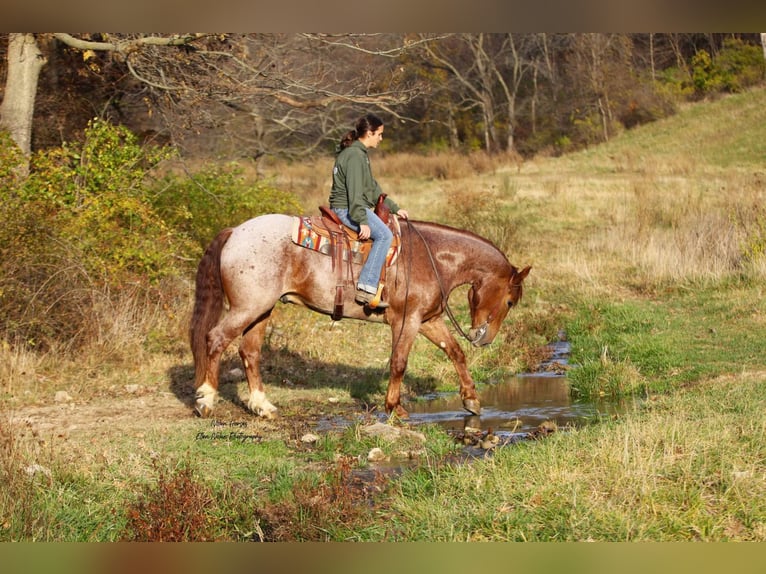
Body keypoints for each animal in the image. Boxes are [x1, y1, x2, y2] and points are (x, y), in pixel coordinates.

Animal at [189, 214, 532, 420]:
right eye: (510, 301)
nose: (483, 338)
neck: (432, 258)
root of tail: (235, 232)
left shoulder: (428, 321)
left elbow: (455, 353)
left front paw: (471, 400)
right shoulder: (406, 321)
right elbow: (399, 363)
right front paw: (395, 408)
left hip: (261, 310)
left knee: (250, 352)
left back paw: (263, 407)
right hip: (247, 308)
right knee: (215, 339)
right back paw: (206, 400)